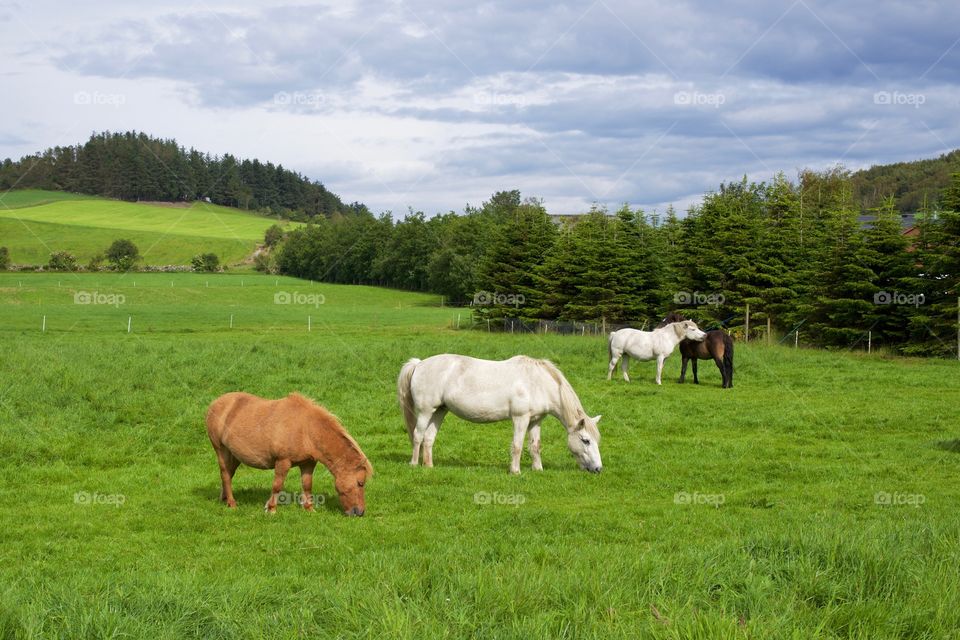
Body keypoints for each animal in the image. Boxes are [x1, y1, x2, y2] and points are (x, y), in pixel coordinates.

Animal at [206, 392, 373, 516]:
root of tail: (215, 404)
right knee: (225, 474)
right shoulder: (283, 462)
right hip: (221, 450)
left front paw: (309, 508)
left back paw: (224, 499)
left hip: (234, 455)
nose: (359, 513)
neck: (306, 429)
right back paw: (232, 503)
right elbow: (277, 485)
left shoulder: (308, 463)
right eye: (360, 483)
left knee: (228, 474)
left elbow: (307, 485)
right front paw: (271, 509)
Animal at [397, 354, 602, 475]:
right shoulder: (520, 418)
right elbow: (517, 446)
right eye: (585, 440)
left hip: (439, 411)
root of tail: (419, 364)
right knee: (417, 435)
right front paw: (515, 471)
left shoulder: (535, 421)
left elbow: (535, 446)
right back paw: (414, 464)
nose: (598, 469)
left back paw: (429, 466)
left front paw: (538, 469)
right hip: (425, 411)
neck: (537, 382)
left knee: (429, 438)